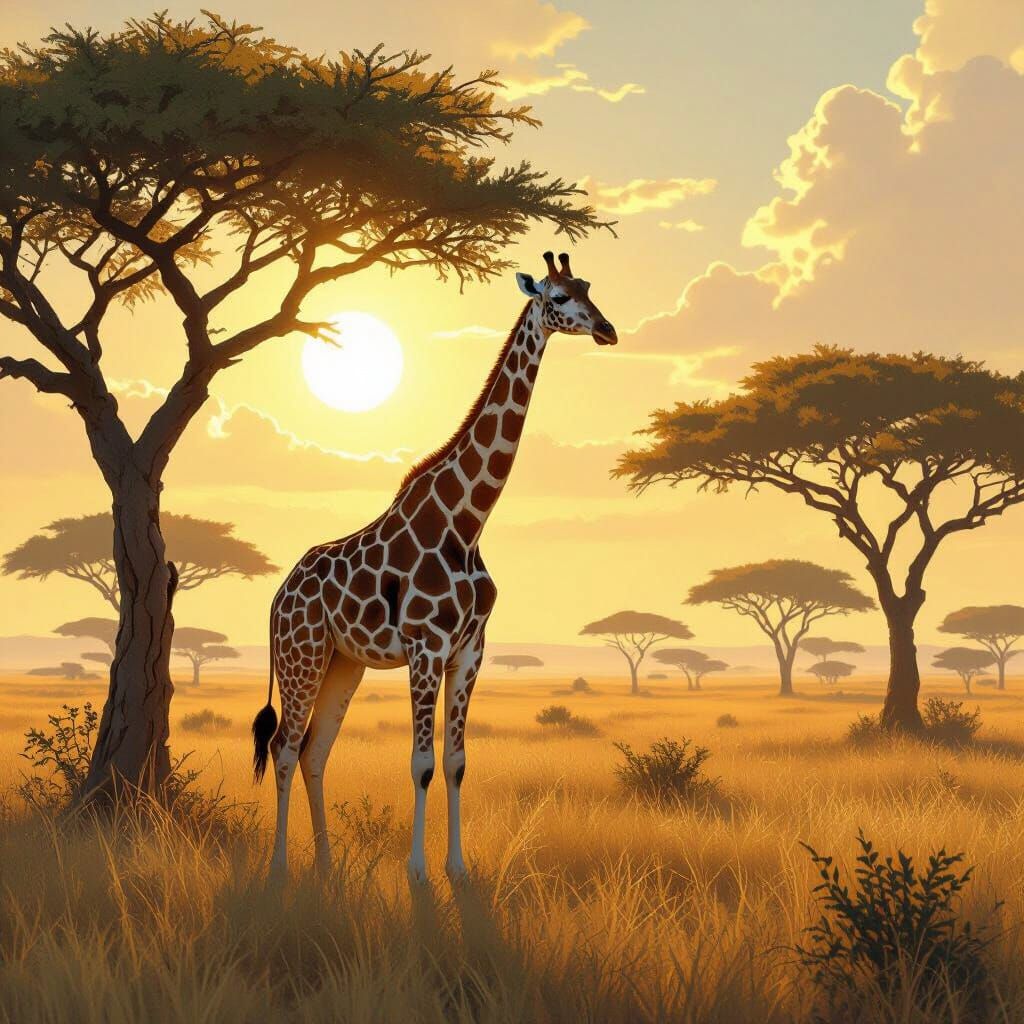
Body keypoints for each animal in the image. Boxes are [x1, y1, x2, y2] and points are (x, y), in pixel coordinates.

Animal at [252, 250, 617, 884]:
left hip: (344, 662)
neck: (467, 524)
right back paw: (279, 869)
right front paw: (418, 872)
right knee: (285, 747)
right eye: (558, 298)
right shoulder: (426, 647)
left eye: (588, 287)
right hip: (302, 656)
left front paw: (458, 869)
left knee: (316, 750)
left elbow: (455, 762)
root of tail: (277, 597)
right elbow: (420, 761)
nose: (607, 330)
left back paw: (325, 865)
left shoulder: (470, 649)